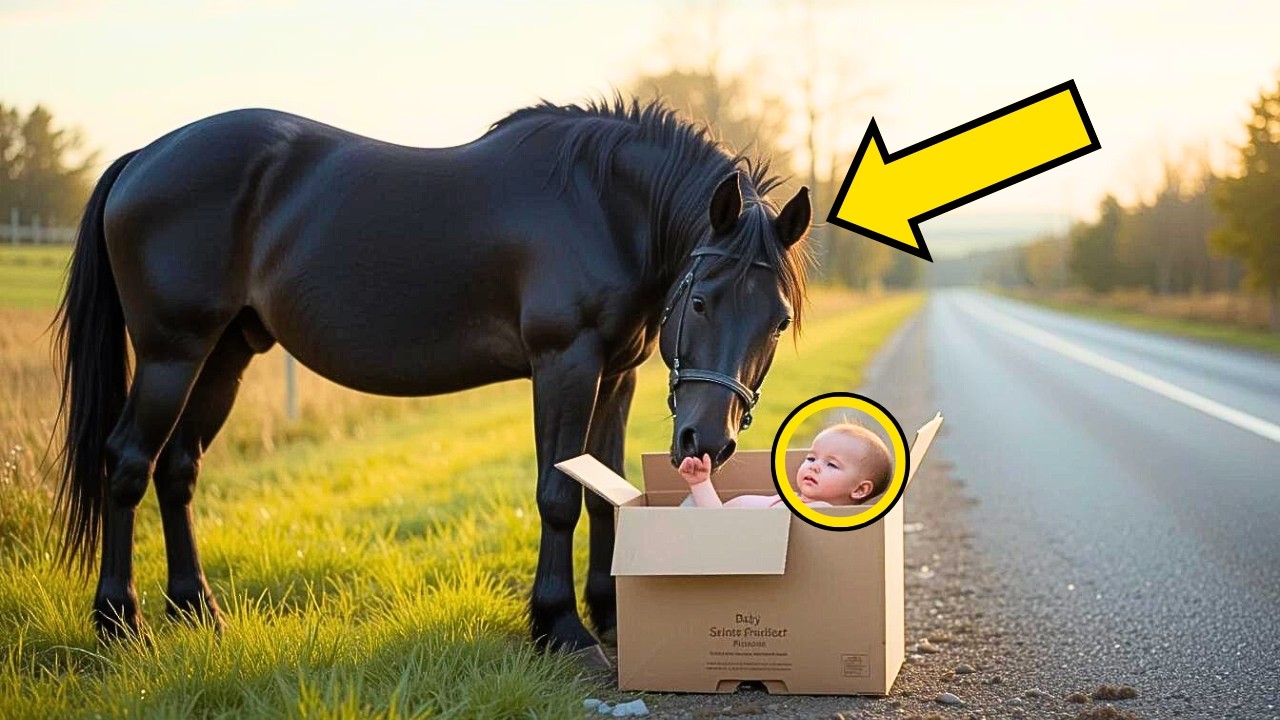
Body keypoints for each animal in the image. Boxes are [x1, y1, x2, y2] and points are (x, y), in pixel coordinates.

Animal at [53, 97, 811, 666]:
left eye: (776, 321)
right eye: (702, 301)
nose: (707, 441)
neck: (603, 204)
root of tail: (143, 156)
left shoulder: (616, 372)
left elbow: (604, 493)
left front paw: (611, 616)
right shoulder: (565, 363)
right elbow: (560, 495)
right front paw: (562, 629)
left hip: (224, 354)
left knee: (178, 467)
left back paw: (196, 610)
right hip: (171, 354)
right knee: (128, 462)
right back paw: (121, 622)